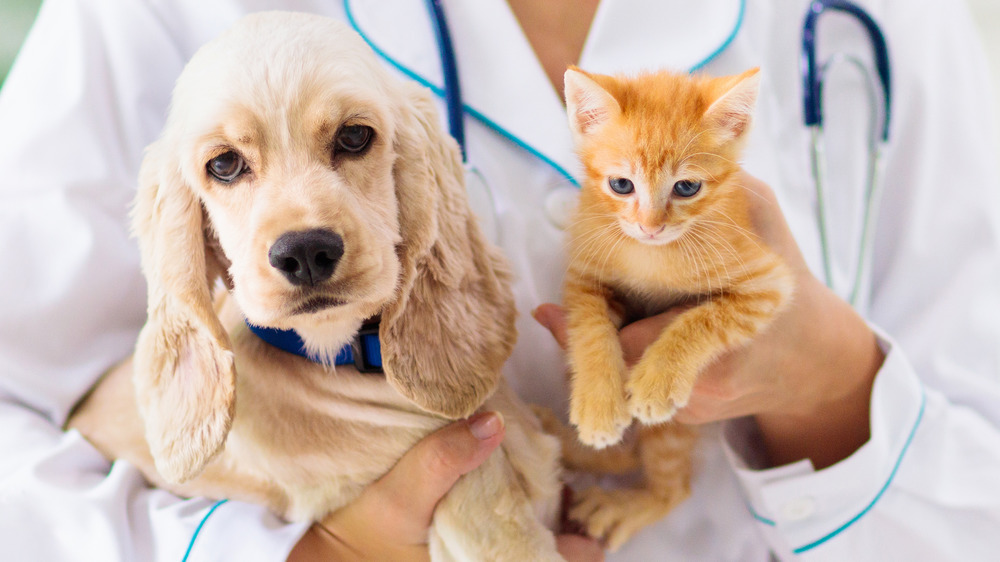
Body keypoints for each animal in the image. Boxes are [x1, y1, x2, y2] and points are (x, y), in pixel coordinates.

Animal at [556, 66, 796, 548]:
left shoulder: (767, 282)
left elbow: (704, 319)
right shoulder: (584, 275)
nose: (651, 227)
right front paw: (598, 403)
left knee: (673, 486)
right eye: (621, 184)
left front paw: (658, 379)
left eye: (686, 187)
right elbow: (589, 327)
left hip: (675, 431)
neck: (652, 256)